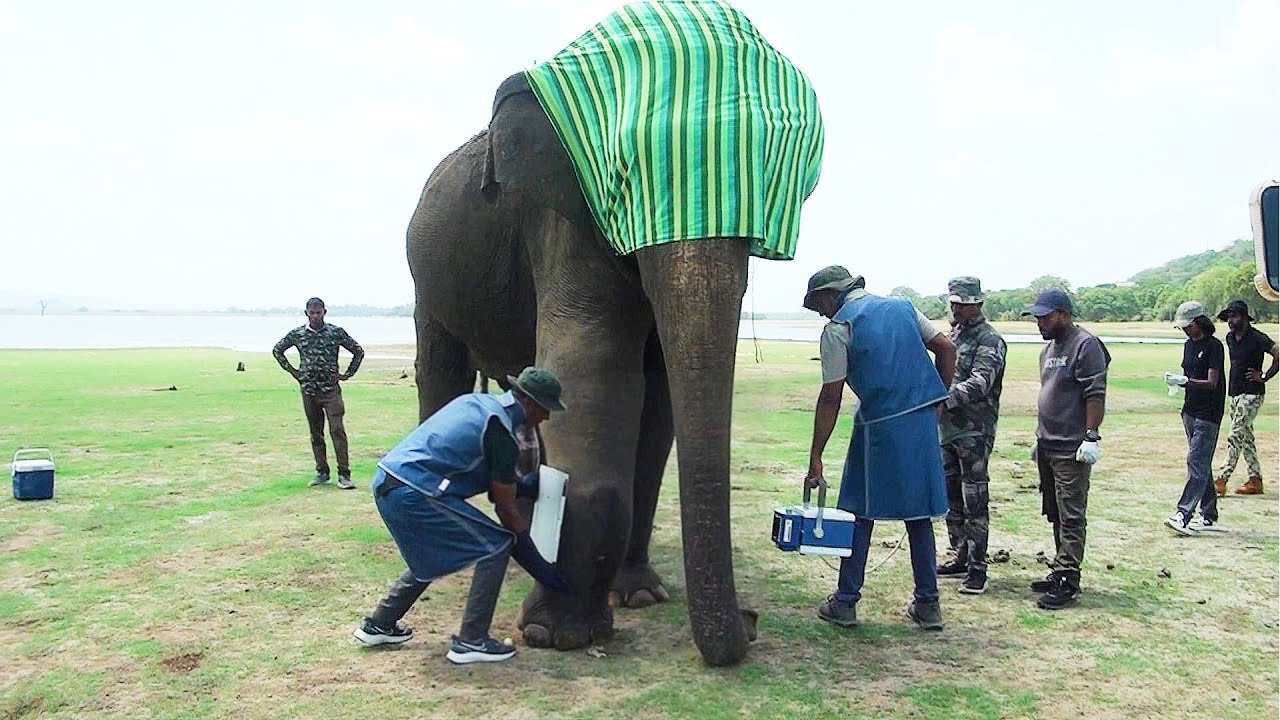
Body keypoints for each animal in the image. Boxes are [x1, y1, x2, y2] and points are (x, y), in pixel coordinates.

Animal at [406, 1, 822, 666]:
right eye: (623, 174)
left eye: (779, 176)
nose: (752, 622)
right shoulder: (559, 208)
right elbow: (591, 359)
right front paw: (559, 635)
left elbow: (655, 400)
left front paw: (639, 597)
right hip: (429, 275)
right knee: (440, 374)